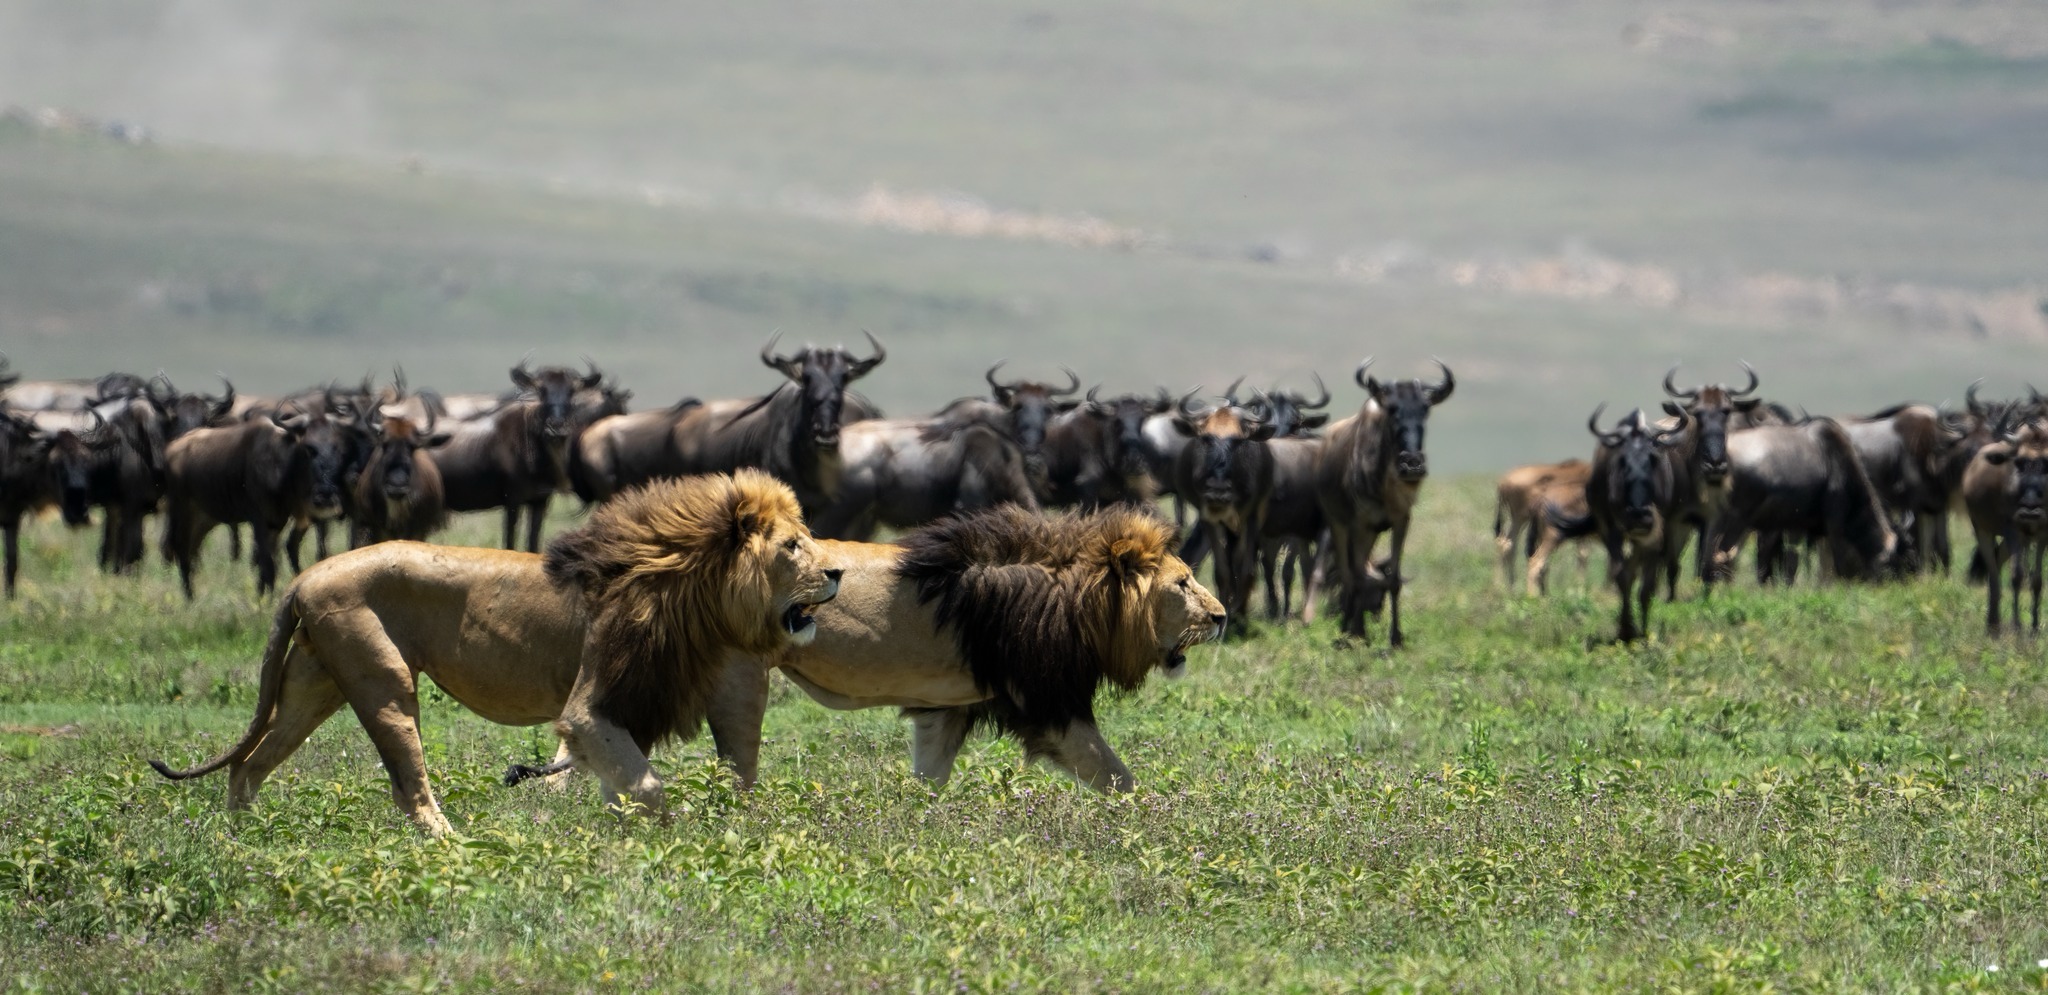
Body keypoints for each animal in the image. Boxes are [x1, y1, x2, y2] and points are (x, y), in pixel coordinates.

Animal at [148, 469, 840, 836]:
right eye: (792, 547)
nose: (836, 572)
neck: (687, 584)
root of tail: (306, 576)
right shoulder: (591, 704)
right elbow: (646, 786)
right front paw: (661, 840)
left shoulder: (631, 704)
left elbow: (625, 782)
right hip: (383, 680)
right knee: (408, 787)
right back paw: (452, 846)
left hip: (312, 686)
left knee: (250, 764)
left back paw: (243, 837)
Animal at [514, 504, 1227, 793]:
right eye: (1184, 583)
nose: (1220, 617)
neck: (1079, 596)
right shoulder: (1048, 702)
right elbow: (1118, 774)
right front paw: (1151, 819)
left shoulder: (951, 707)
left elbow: (930, 775)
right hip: (740, 680)